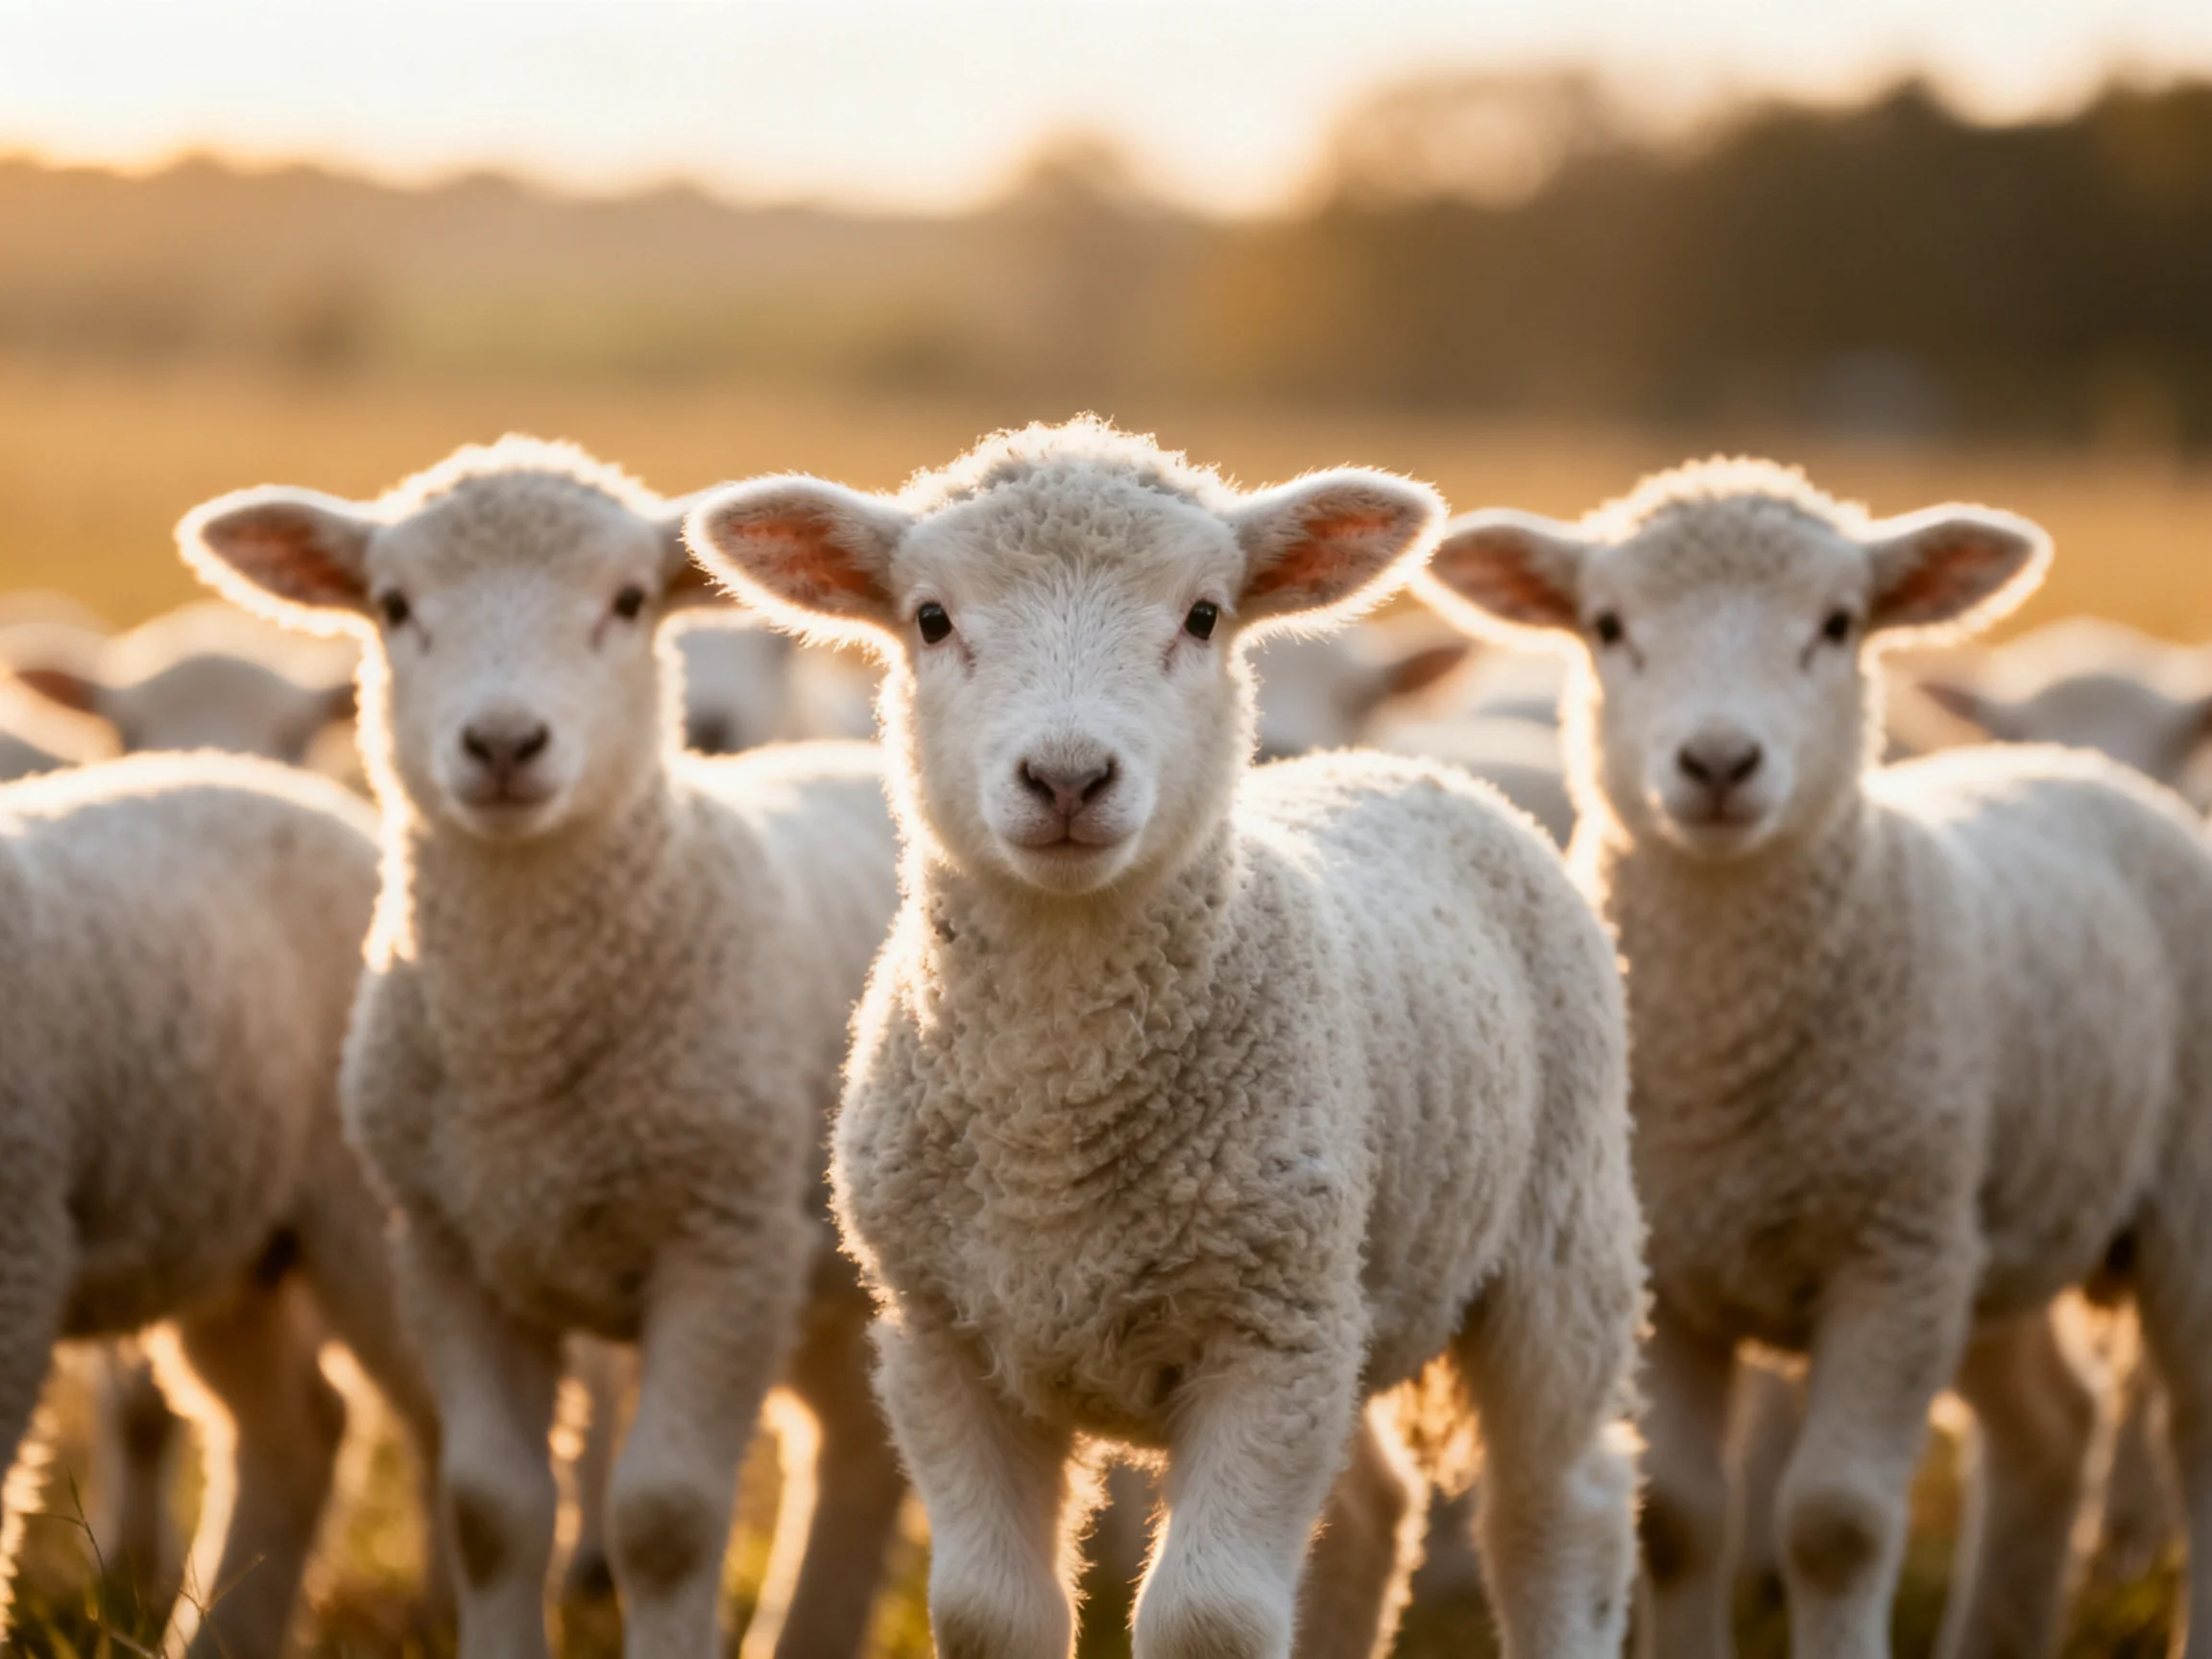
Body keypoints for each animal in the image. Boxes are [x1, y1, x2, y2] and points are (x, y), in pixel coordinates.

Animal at [178, 435, 909, 1659]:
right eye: (393, 605)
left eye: (628, 602)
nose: (504, 743)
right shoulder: (447, 1250)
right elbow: (493, 1510)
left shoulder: (725, 1247)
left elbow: (666, 1517)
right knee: (858, 1454)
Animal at [686, 417, 1647, 1659]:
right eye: (931, 619)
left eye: (1203, 616)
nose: (1067, 776)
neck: (1056, 1113)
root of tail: (1405, 764)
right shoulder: (943, 1341)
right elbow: (990, 1615)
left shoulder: (1267, 1337)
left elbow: (1211, 1620)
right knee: (1373, 1509)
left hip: (1559, 1243)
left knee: (1554, 1512)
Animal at [1421, 456, 2212, 1659]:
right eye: (1608, 627)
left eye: (1839, 625)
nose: (1718, 761)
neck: (1725, 1057)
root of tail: (2083, 768)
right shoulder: (1674, 1272)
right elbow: (1681, 1520)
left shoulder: (1891, 1258)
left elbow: (1836, 1524)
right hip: (1989, 1231)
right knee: (2051, 1426)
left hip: (2164, 1213)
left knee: (2197, 1434)